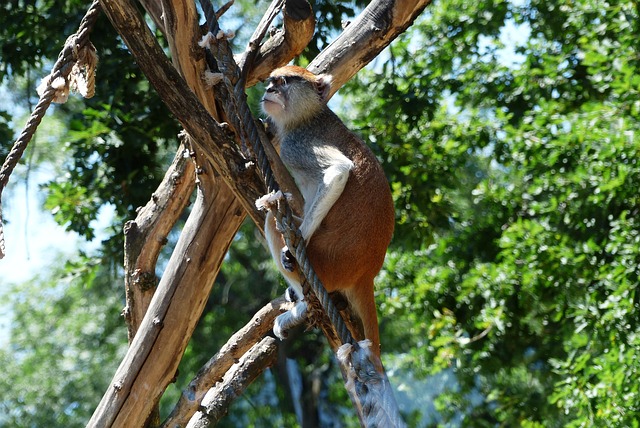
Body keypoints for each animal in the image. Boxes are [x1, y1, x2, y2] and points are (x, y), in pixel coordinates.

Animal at [256, 64, 396, 358]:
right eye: (271, 81)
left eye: (282, 82)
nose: (269, 90)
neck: (310, 115)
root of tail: (366, 273)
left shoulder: (297, 145)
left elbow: (338, 172)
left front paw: (295, 245)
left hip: (328, 264)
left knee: (273, 221)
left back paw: (300, 308)